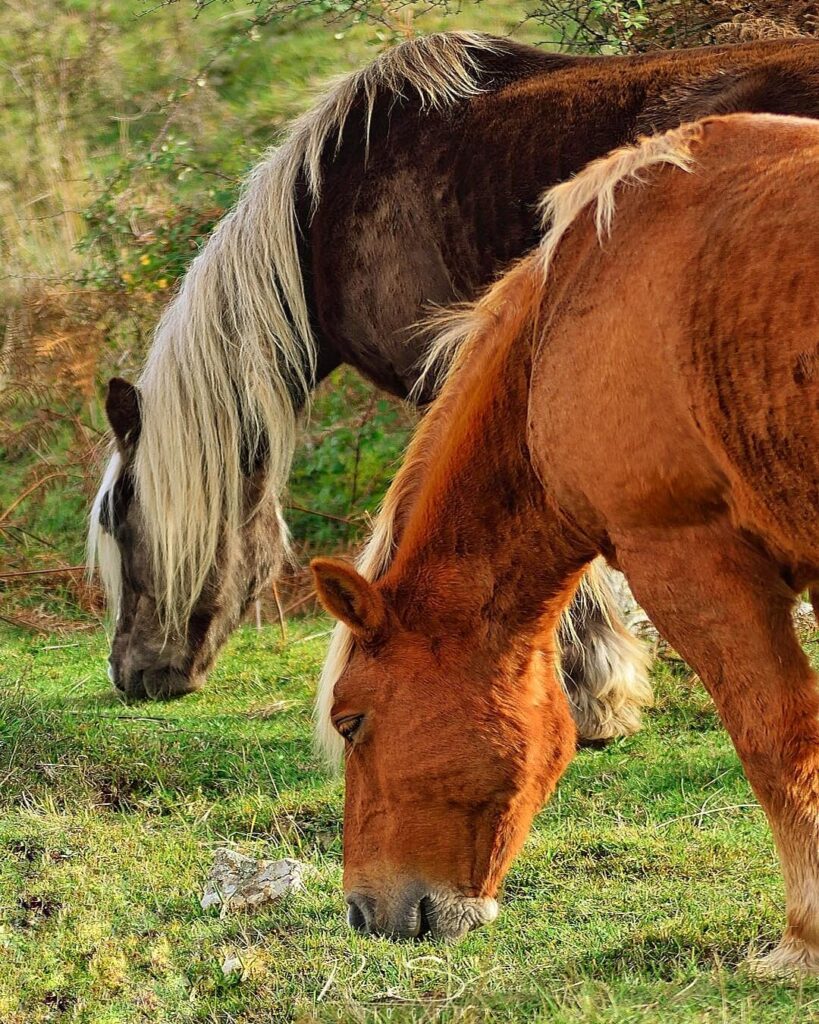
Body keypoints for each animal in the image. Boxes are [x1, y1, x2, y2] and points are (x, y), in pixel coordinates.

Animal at [311, 112, 818, 974]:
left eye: (352, 721)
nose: (361, 913)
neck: (577, 301)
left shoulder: (689, 564)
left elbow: (777, 743)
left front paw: (802, 939)